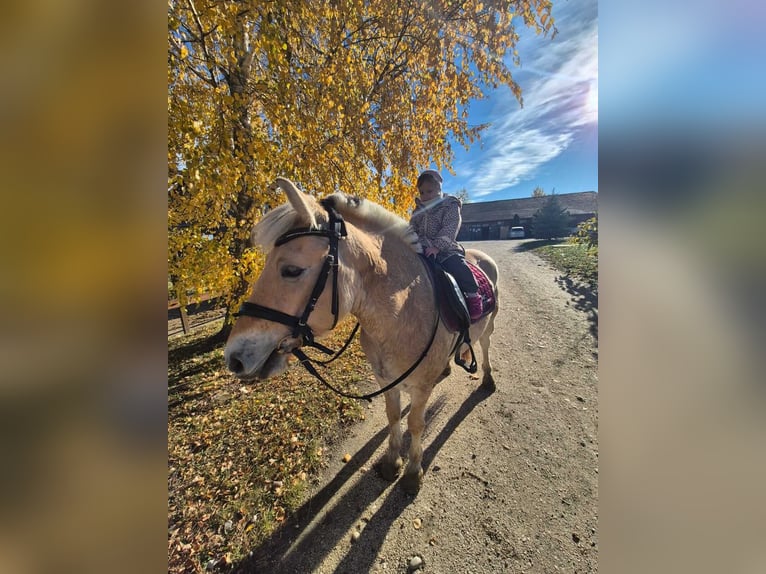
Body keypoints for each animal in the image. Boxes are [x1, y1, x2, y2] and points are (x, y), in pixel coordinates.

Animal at [224, 177, 499, 494]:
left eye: (291, 270)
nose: (233, 357)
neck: (403, 311)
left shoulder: (419, 389)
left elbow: (416, 425)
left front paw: (412, 473)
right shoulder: (386, 380)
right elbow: (394, 416)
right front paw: (392, 462)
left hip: (489, 326)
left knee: (486, 345)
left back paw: (488, 380)